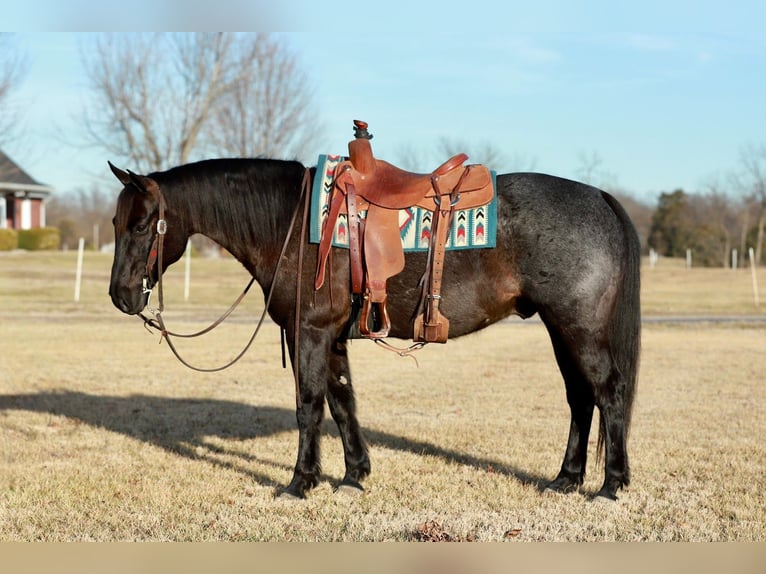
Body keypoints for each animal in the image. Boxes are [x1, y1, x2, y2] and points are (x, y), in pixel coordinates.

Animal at [107, 157, 641, 501]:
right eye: (115, 222)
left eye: (142, 226)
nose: (120, 296)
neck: (292, 223)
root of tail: (599, 197)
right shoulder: (331, 337)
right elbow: (343, 401)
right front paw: (353, 475)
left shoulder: (310, 332)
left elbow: (309, 406)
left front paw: (300, 483)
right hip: (560, 328)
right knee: (580, 399)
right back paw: (566, 479)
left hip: (578, 327)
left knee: (609, 392)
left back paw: (610, 484)